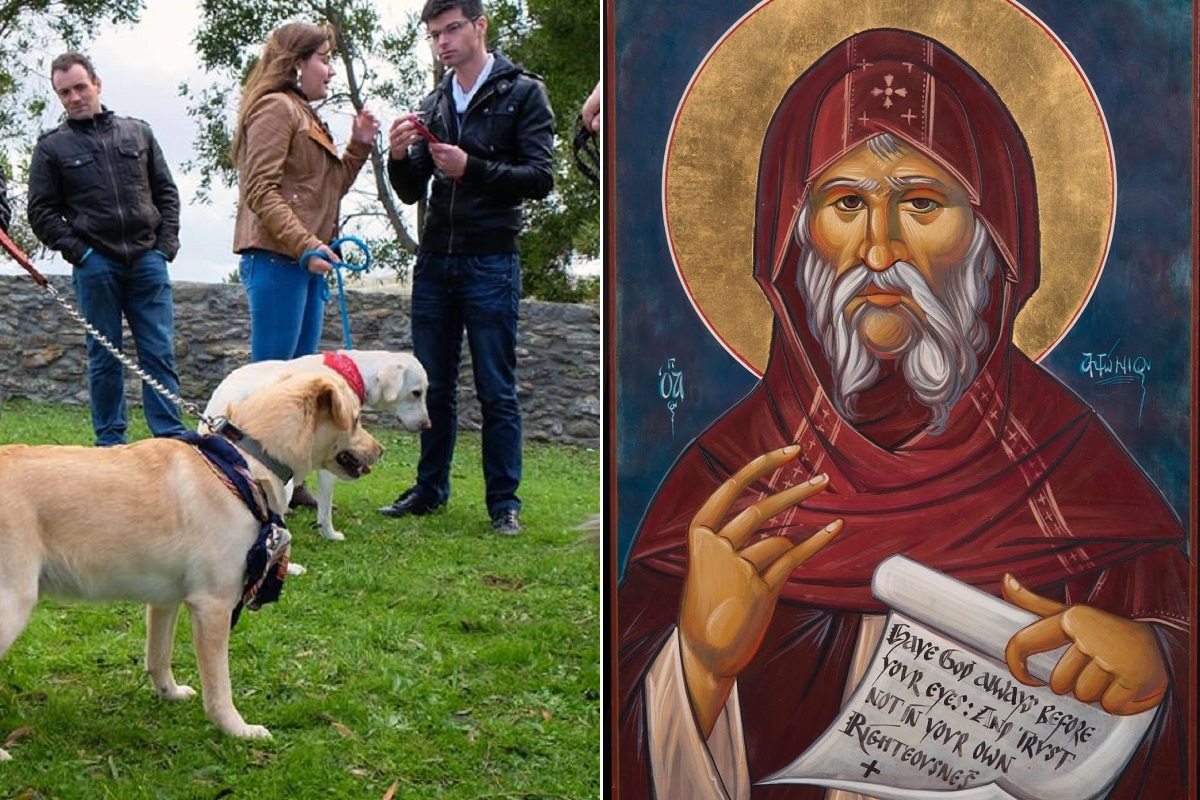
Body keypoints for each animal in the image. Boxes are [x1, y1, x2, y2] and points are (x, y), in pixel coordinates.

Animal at [0, 371, 381, 762]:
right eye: (356, 420)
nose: (380, 449)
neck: (248, 459)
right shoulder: (213, 606)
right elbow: (219, 687)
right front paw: (237, 730)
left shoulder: (165, 600)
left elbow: (158, 656)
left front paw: (169, 694)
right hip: (12, 604)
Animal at [204, 347, 429, 542]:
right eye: (416, 393)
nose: (427, 425)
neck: (352, 371)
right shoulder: (327, 461)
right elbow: (325, 508)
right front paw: (330, 534)